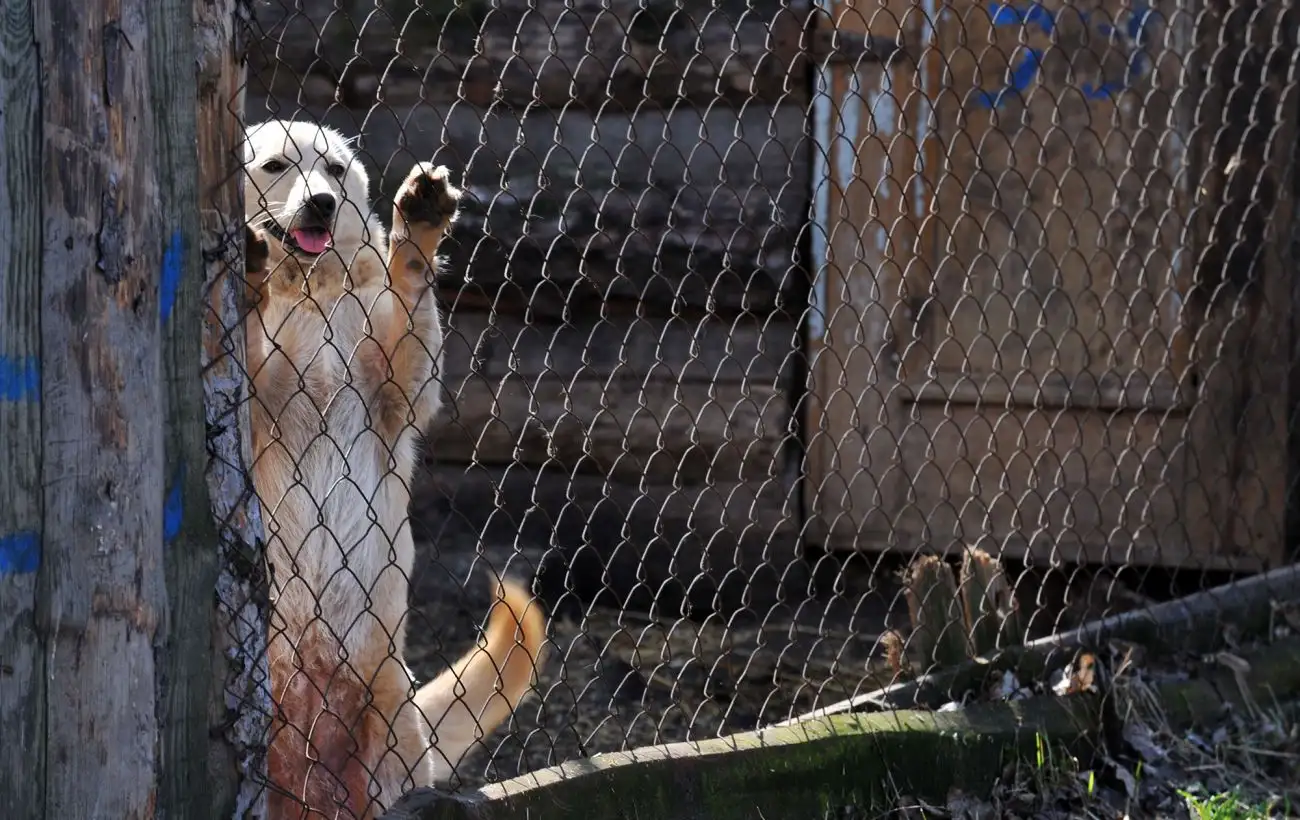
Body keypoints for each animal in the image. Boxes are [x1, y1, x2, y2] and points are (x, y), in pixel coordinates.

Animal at [241, 122, 546, 820]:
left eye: (333, 168)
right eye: (275, 165)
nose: (323, 203)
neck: (312, 292)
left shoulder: (397, 395)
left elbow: (409, 298)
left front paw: (418, 232)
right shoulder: (257, 398)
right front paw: (249, 271)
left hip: (389, 730)